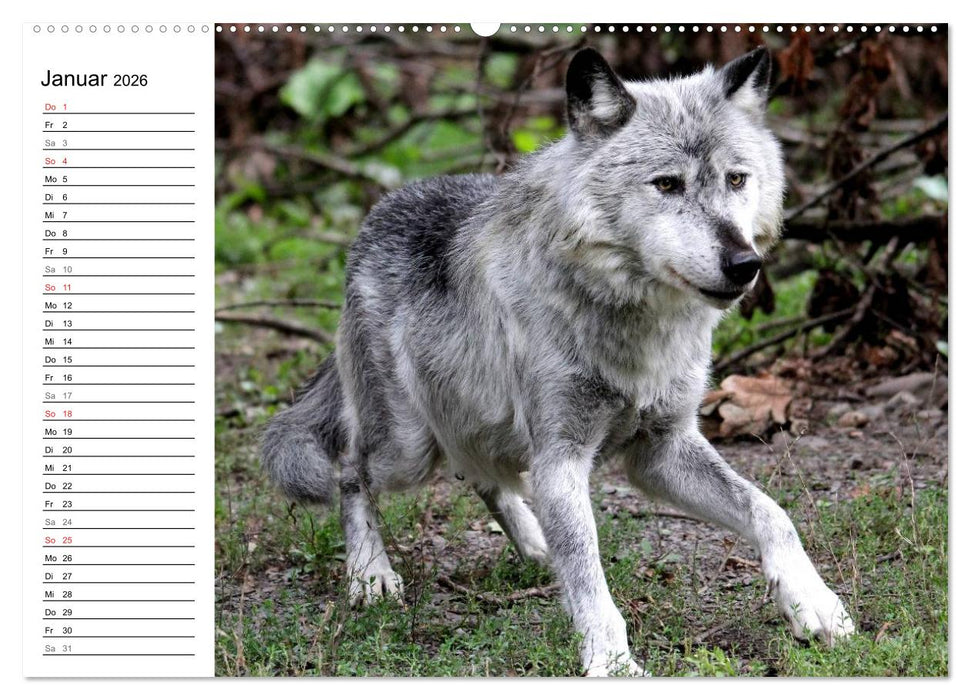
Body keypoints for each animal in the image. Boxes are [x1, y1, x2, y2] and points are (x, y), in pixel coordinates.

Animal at [262, 46, 855, 676]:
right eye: (667, 184)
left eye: (737, 179)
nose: (745, 264)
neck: (635, 325)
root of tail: (377, 213)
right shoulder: (563, 458)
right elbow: (588, 572)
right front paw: (612, 663)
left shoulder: (660, 450)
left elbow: (772, 512)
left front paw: (815, 604)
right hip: (407, 447)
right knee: (351, 470)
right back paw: (370, 575)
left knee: (483, 477)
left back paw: (533, 542)